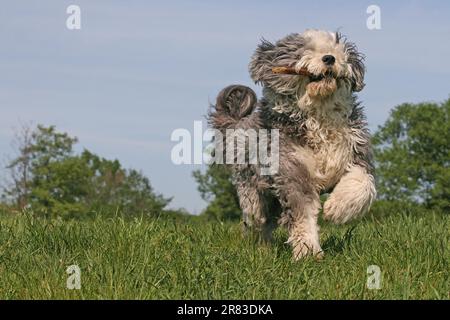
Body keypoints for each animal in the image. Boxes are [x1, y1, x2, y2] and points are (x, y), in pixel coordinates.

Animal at [208, 30, 376, 260]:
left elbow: (363, 183)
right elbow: (302, 215)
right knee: (257, 222)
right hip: (254, 193)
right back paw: (260, 248)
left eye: (334, 49)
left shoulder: (356, 154)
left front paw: (335, 209)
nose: (329, 58)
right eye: (306, 50)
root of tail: (240, 124)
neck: (319, 117)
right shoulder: (293, 173)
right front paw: (308, 252)